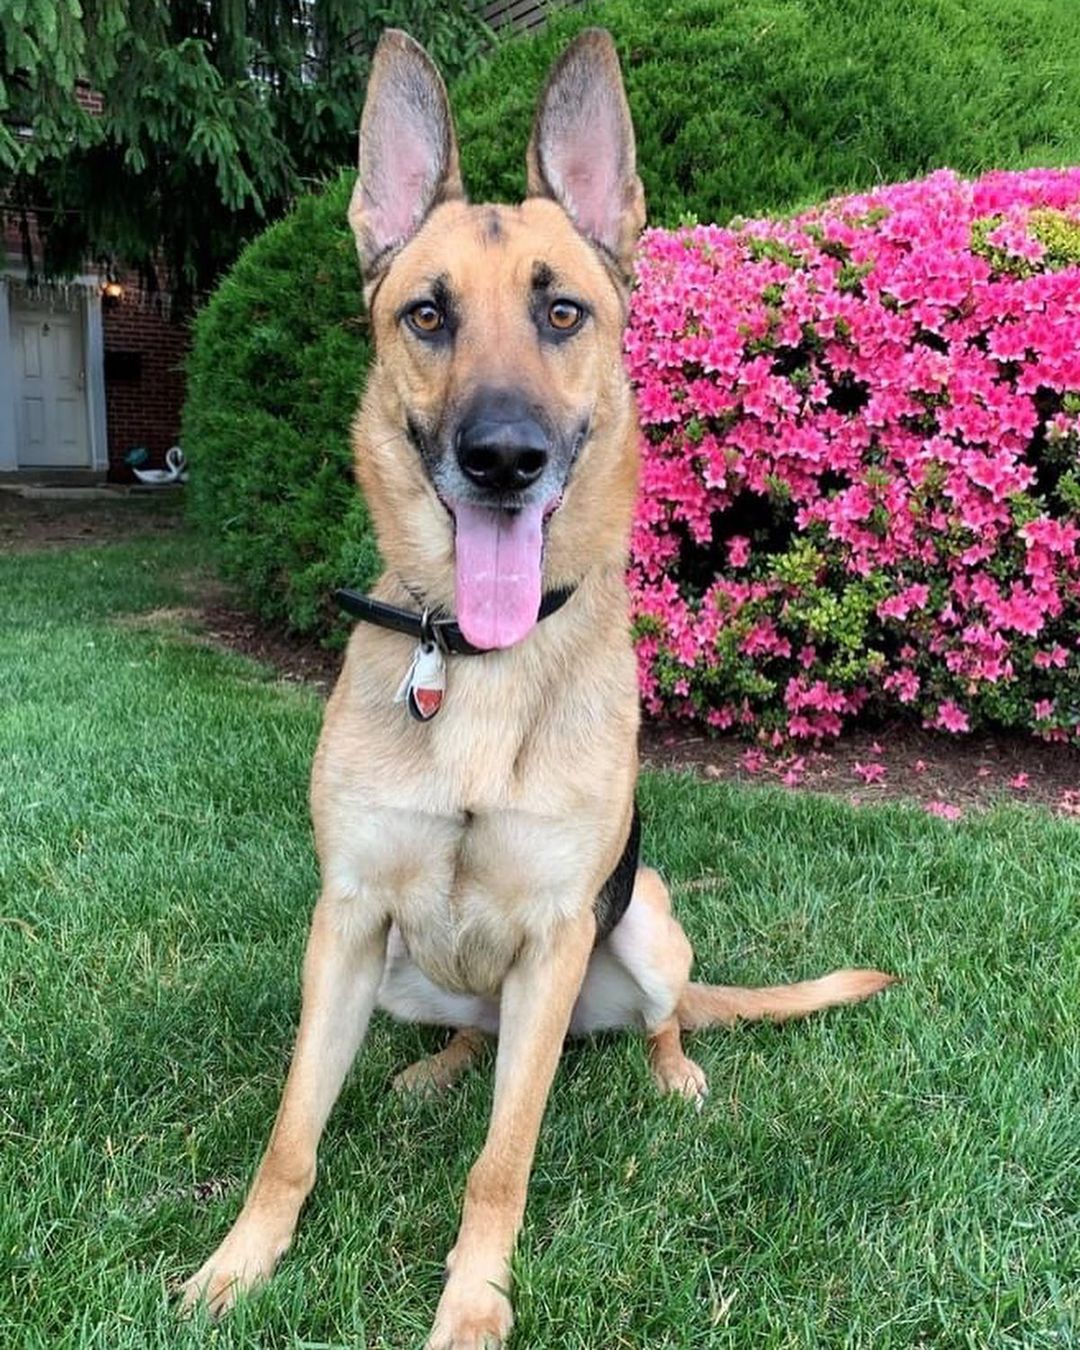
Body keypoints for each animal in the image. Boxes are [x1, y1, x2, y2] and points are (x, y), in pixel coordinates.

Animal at [183, 26, 896, 1344]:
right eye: (427, 314)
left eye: (564, 311)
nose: (502, 459)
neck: (474, 666)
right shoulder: (344, 921)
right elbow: (293, 1133)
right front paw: (241, 1263)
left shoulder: (563, 932)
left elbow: (501, 1164)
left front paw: (473, 1306)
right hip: (407, 971)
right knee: (480, 1037)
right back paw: (436, 1067)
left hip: (646, 928)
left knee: (653, 1018)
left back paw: (674, 1072)